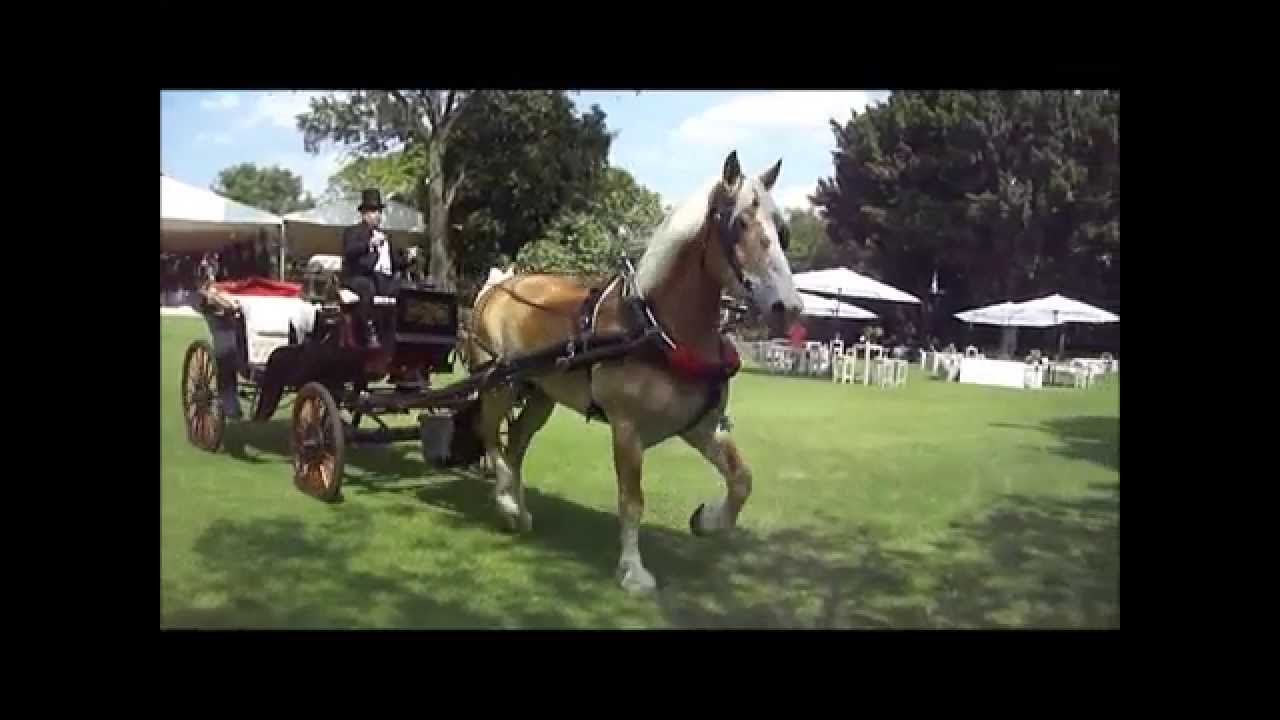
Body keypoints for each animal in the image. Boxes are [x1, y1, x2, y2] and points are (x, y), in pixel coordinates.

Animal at [465, 151, 804, 592]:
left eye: (781, 229)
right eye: (739, 222)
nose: (789, 307)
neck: (654, 326)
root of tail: (499, 284)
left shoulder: (701, 426)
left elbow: (741, 479)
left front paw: (708, 520)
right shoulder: (627, 429)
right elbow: (632, 501)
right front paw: (632, 570)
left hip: (541, 394)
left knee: (516, 443)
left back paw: (517, 512)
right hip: (499, 385)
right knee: (490, 435)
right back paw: (506, 500)